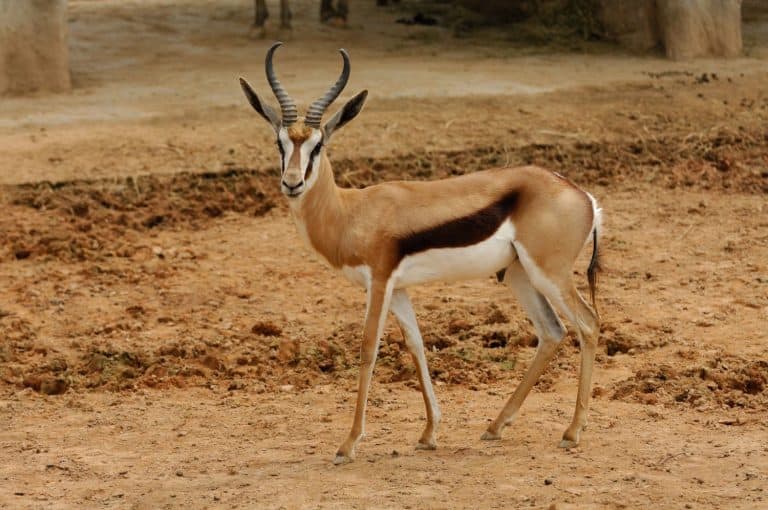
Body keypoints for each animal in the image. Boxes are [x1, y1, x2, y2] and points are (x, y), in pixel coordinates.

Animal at [239, 43, 603, 464]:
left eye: (319, 145)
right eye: (280, 143)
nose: (292, 183)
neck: (350, 211)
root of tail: (582, 196)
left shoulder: (379, 283)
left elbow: (368, 349)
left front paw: (348, 444)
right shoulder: (398, 289)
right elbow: (416, 346)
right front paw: (429, 434)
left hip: (549, 274)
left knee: (588, 324)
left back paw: (572, 432)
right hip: (519, 274)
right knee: (551, 331)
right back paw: (495, 427)